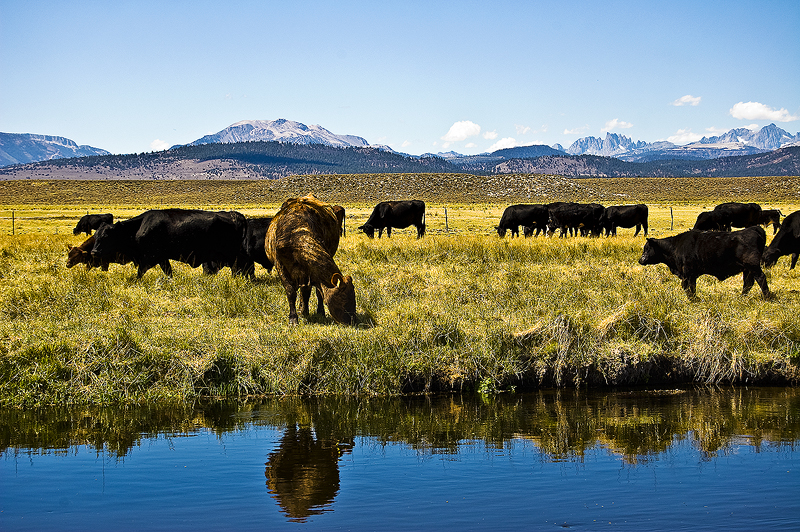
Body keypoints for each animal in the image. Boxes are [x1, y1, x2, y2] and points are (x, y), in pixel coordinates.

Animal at [91, 209, 247, 278]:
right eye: (96, 235)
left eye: (106, 236)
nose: (94, 252)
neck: (139, 226)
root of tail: (235, 215)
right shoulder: (162, 258)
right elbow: (168, 271)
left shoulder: (149, 257)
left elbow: (140, 272)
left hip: (232, 256)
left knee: (236, 269)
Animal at [266, 195, 356, 326]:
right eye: (344, 298)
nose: (353, 319)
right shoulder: (281, 267)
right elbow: (291, 292)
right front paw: (293, 318)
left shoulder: (311, 273)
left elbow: (317, 292)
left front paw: (319, 312)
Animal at [636, 224, 772, 300]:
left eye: (647, 248)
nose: (640, 260)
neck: (675, 246)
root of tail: (754, 229)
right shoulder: (689, 274)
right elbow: (691, 288)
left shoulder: (688, 273)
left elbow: (688, 287)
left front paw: (693, 300)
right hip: (747, 269)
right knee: (748, 283)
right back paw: (741, 297)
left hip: (753, 266)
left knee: (761, 278)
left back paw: (767, 298)